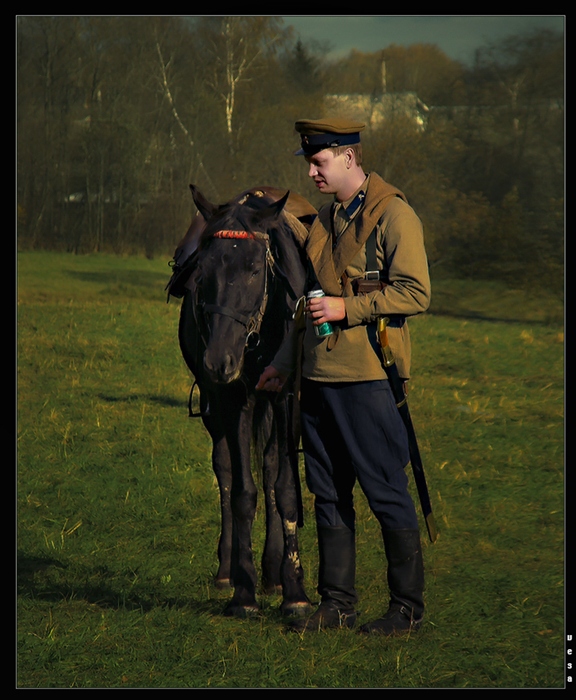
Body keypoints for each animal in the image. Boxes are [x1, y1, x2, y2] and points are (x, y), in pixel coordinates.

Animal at [171, 186, 316, 616]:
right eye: (203, 269)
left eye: (254, 268)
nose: (219, 360)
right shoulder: (234, 398)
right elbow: (242, 493)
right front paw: (243, 589)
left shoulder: (285, 399)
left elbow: (284, 489)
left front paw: (295, 591)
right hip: (216, 406)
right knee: (225, 470)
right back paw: (228, 570)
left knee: (270, 470)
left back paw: (274, 572)